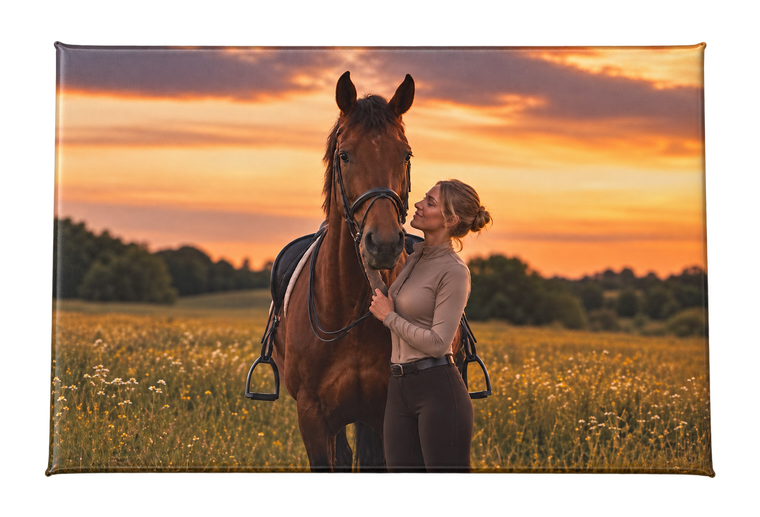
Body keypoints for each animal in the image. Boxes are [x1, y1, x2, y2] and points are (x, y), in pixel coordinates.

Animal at [264, 71, 466, 472]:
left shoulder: (386, 411)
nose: (383, 243)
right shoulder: (313, 416)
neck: (347, 308)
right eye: (345, 154)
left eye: (405, 154)